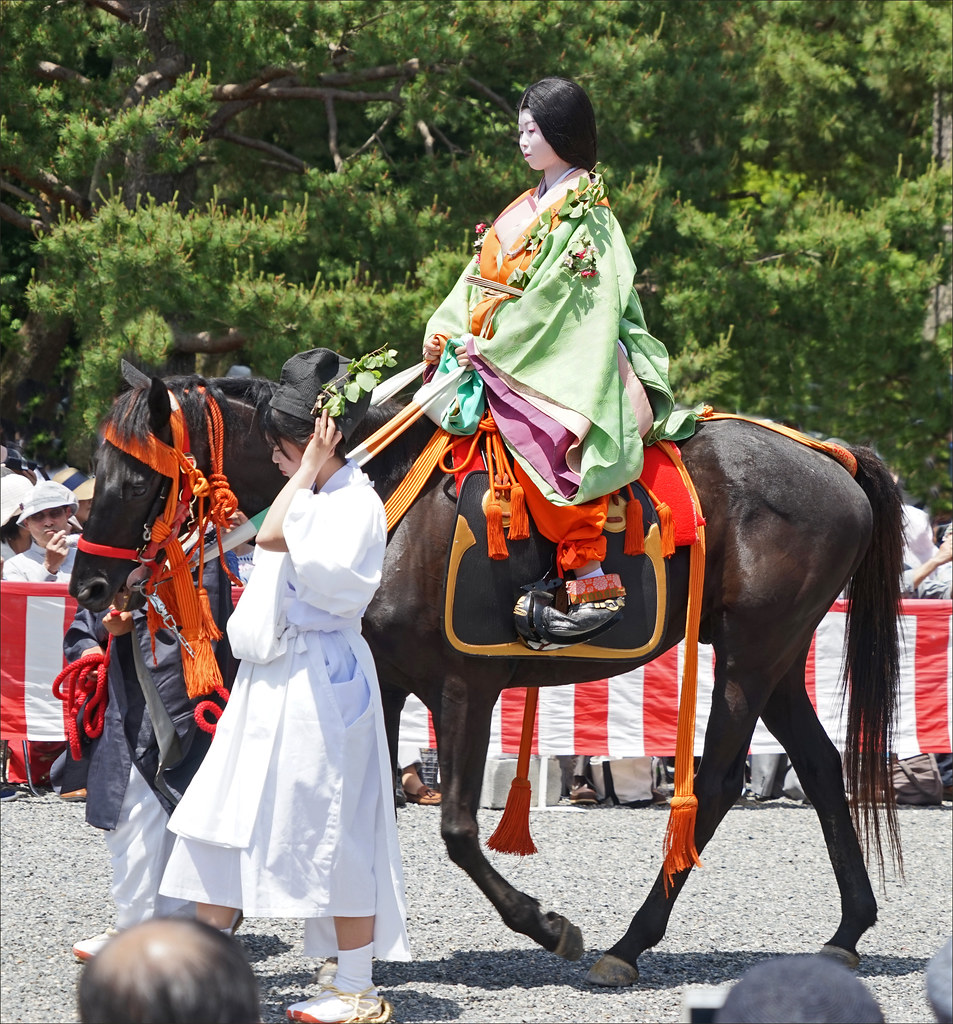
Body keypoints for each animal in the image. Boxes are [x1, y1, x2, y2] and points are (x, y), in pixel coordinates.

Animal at [72, 372, 900, 987]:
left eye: (132, 478)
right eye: (96, 473)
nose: (88, 587)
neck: (376, 495)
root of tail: (831, 458)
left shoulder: (463, 685)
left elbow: (459, 829)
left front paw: (547, 925)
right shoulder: (384, 678)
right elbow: (371, 805)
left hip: (751, 653)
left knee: (723, 781)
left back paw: (626, 946)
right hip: (772, 655)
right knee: (819, 765)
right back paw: (846, 930)